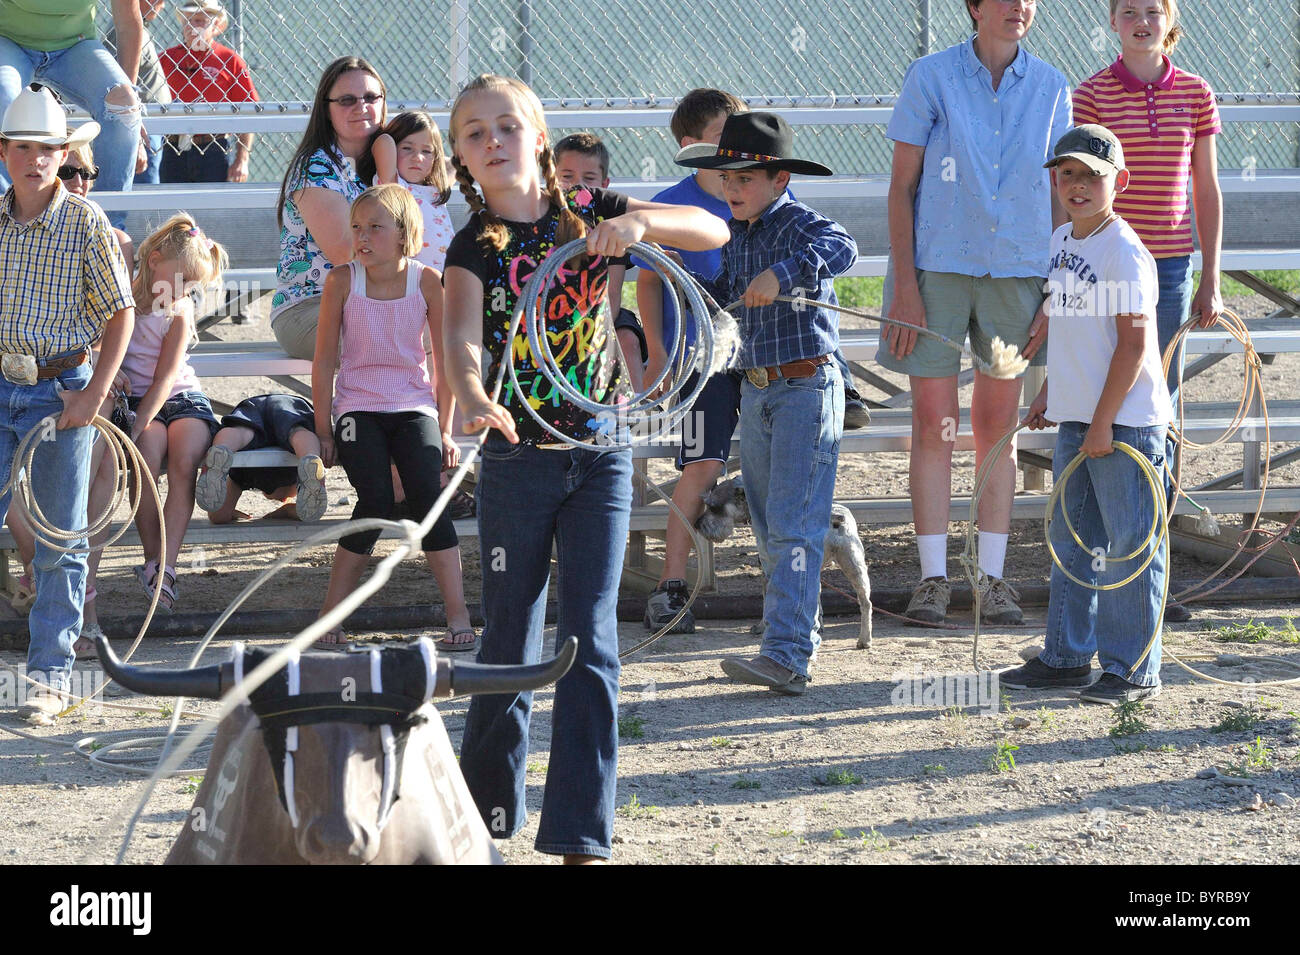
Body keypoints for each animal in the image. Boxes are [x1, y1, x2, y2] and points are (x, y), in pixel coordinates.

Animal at [696, 478, 868, 649]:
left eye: (713, 507)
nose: (697, 524)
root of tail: (834, 520)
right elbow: (815, 602)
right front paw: (818, 626)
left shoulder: (767, 573)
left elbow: (767, 603)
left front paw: (761, 627)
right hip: (855, 566)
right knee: (866, 602)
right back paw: (864, 640)